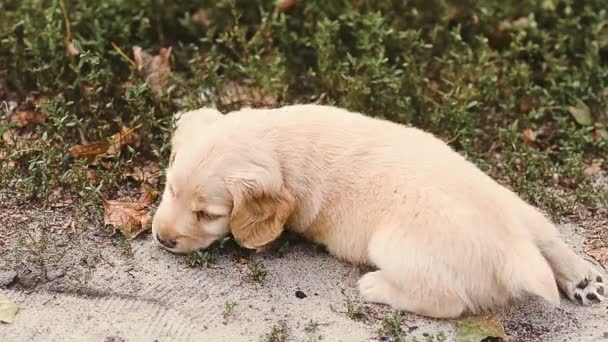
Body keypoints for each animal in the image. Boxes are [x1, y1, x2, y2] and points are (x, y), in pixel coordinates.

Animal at [152, 103, 604, 318]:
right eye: (169, 188)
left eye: (209, 214)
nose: (162, 239)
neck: (279, 144)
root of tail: (514, 253)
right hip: (519, 206)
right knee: (550, 237)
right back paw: (584, 279)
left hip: (394, 245)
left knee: (448, 301)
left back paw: (376, 287)